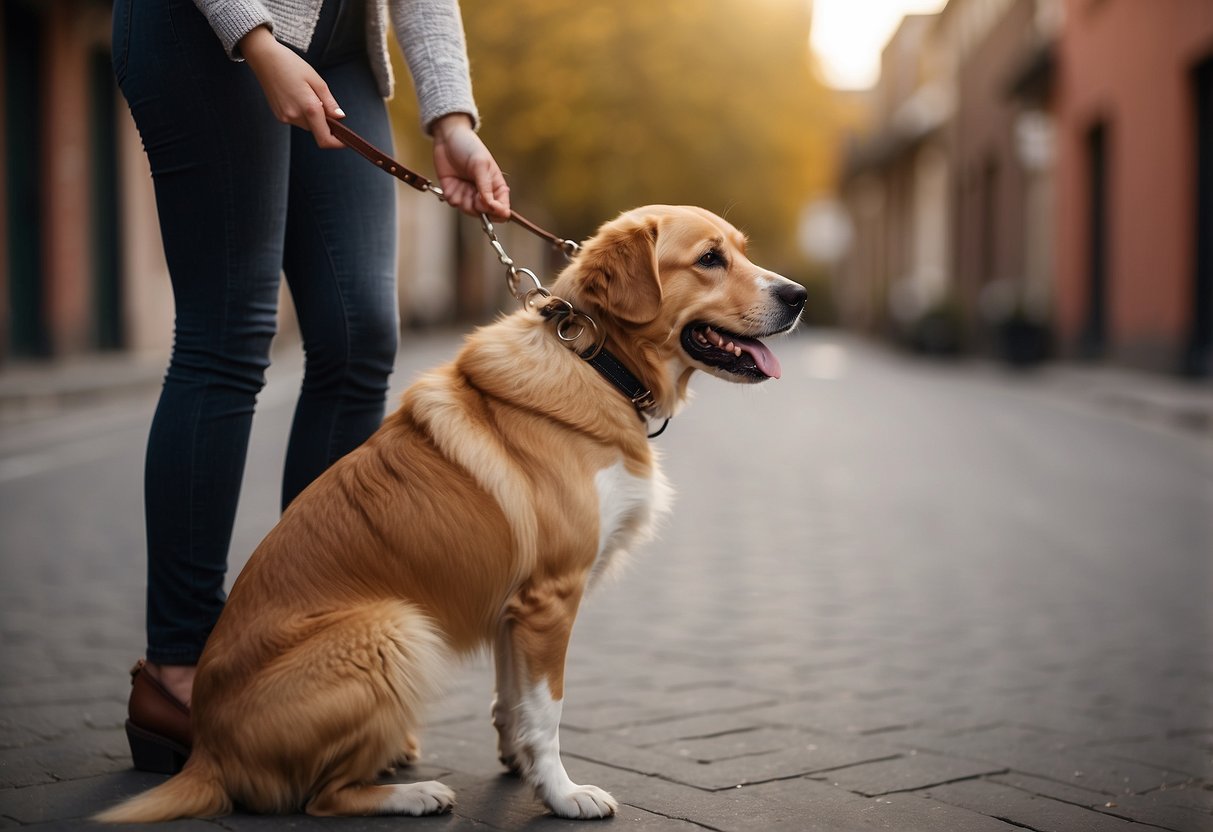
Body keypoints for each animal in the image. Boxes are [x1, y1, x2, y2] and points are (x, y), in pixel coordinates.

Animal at [99, 207, 810, 819]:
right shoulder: (552, 597)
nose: (799, 295)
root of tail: (208, 752)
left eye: (742, 249)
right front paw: (562, 793)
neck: (596, 364)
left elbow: (511, 699)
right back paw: (413, 794)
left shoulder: (515, 606)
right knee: (319, 799)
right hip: (396, 631)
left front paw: (522, 767)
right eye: (710, 259)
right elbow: (547, 709)